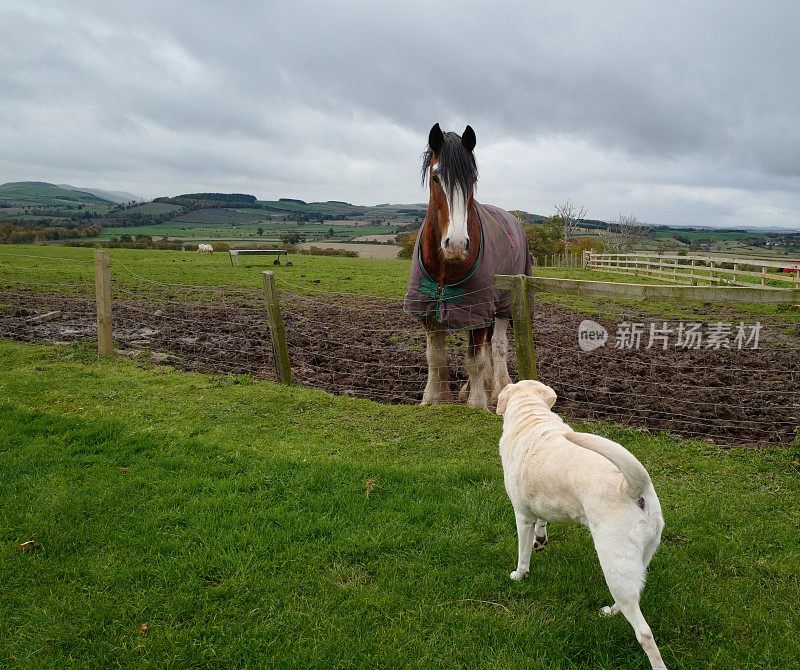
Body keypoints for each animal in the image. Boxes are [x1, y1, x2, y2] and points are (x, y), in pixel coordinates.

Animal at [406, 123, 532, 412]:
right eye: (436, 178)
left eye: (471, 179)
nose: (456, 244)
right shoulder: (428, 308)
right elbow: (435, 356)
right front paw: (435, 398)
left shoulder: (477, 307)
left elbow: (475, 359)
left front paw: (477, 404)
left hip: (503, 303)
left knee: (497, 346)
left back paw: (497, 391)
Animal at [496, 380, 664, 670]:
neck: (531, 417)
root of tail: (631, 486)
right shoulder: (541, 505)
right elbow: (542, 522)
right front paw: (541, 540)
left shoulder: (522, 516)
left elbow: (523, 553)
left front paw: (520, 575)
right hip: (640, 558)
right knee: (632, 598)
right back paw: (610, 611)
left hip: (613, 563)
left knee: (644, 632)